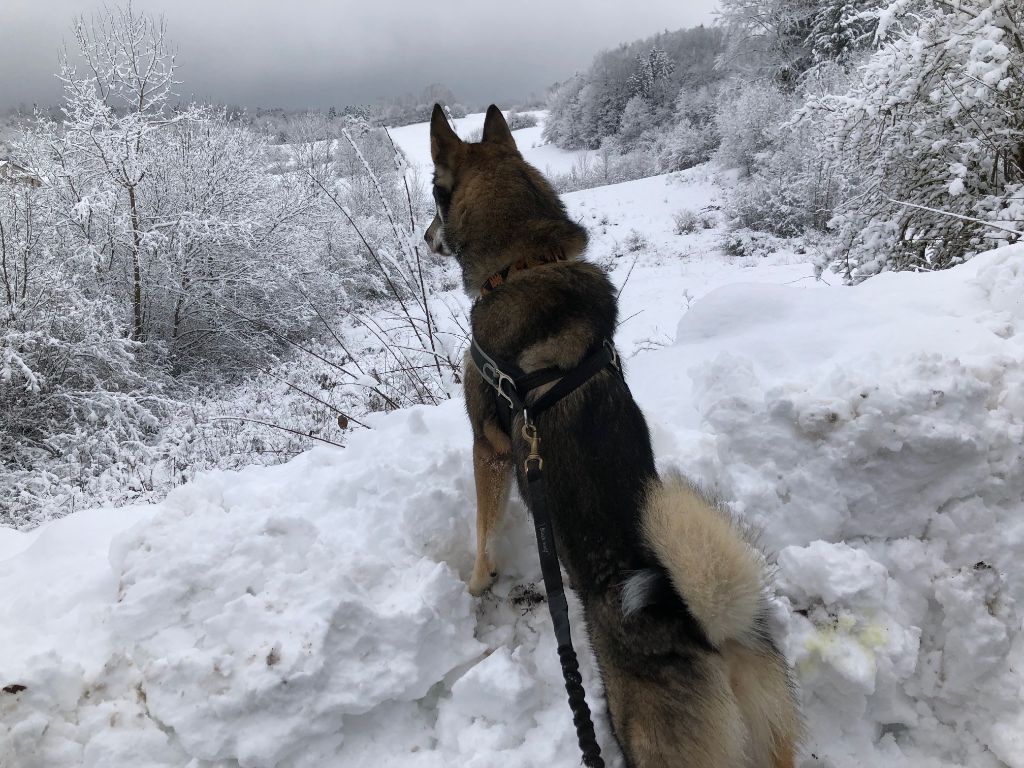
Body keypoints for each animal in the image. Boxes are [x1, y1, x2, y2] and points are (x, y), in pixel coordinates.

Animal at [425, 103, 801, 768]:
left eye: (431, 193)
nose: (423, 238)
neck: (527, 261)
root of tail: (708, 635)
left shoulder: (488, 446)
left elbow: (483, 527)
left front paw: (476, 583)